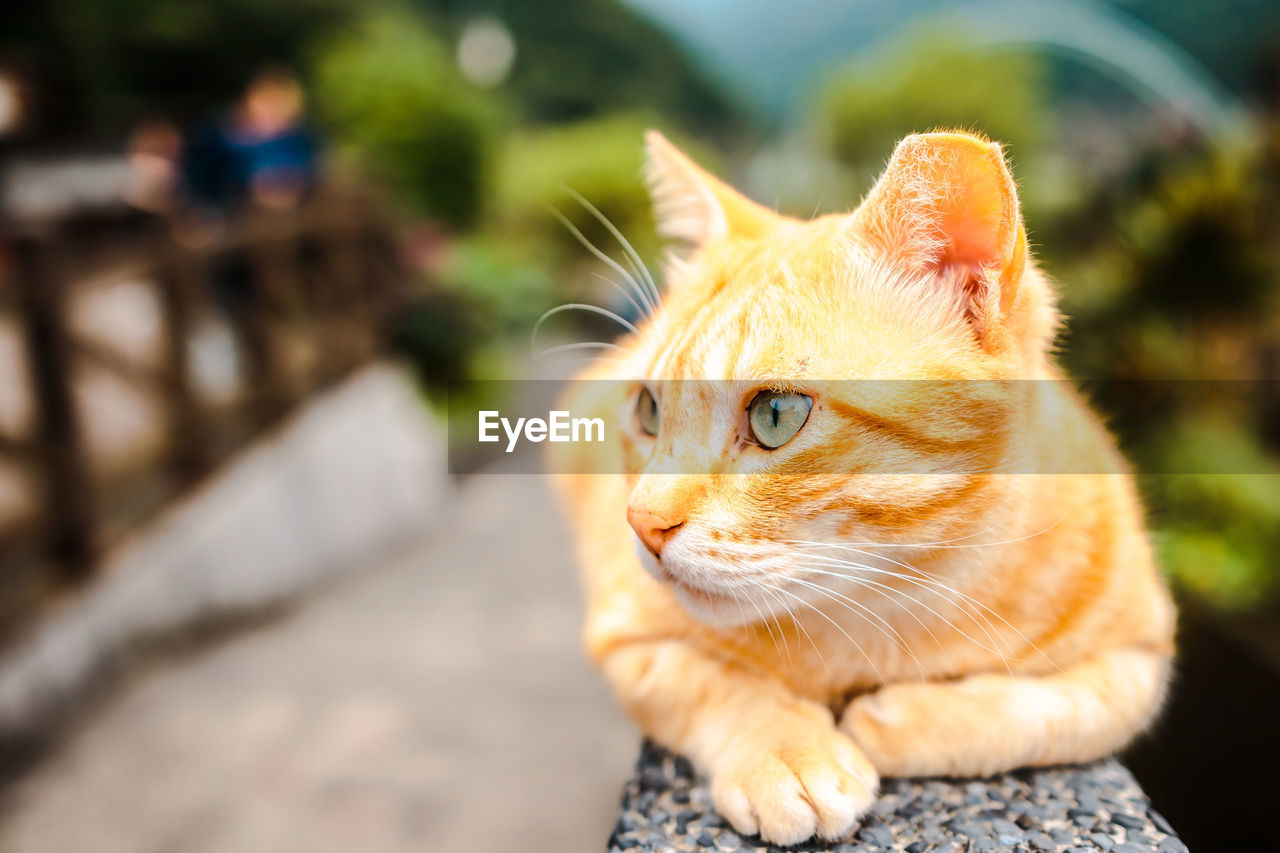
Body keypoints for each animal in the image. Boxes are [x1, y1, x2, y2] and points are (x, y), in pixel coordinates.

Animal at [555, 129, 1172, 840]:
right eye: (648, 411)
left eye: (775, 415)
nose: (642, 524)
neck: (891, 604)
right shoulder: (627, 636)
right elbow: (710, 681)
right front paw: (789, 751)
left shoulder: (1142, 659)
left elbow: (1063, 710)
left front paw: (904, 722)